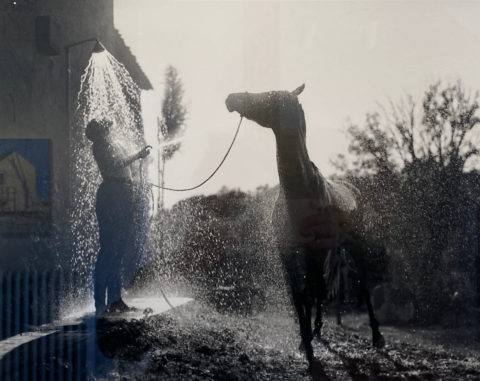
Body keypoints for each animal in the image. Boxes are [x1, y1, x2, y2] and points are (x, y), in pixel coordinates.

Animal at [225, 85, 386, 366]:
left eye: (270, 96)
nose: (231, 98)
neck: (300, 192)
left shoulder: (314, 250)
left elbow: (309, 293)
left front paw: (308, 343)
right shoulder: (288, 251)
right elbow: (298, 295)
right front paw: (304, 340)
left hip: (353, 246)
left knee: (363, 285)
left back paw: (377, 336)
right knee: (321, 289)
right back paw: (318, 329)